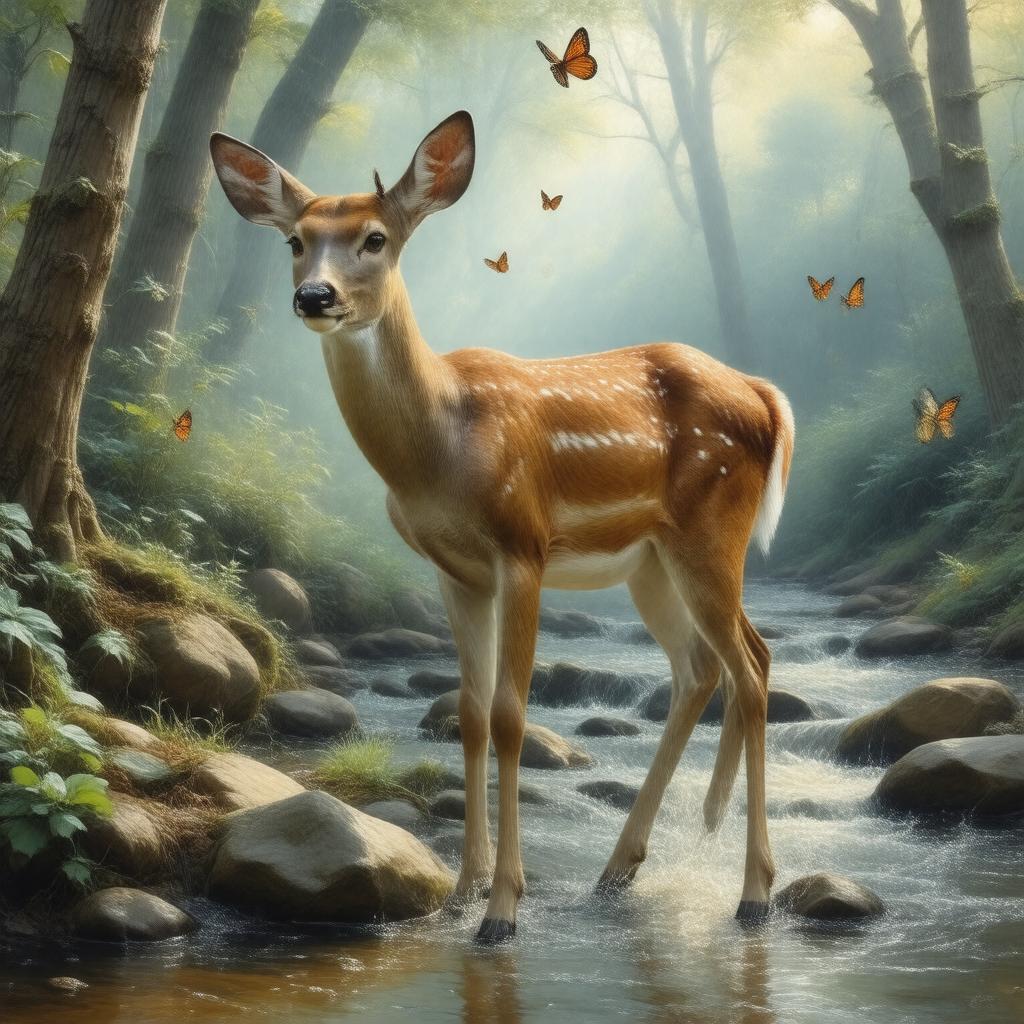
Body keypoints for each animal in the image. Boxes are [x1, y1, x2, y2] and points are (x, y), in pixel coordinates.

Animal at [210, 110, 795, 944]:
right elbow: (470, 715)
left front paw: (503, 910)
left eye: (375, 238)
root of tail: (761, 393)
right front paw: (461, 892)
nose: (315, 296)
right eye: (296, 239)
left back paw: (752, 893)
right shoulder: (455, 571)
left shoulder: (523, 547)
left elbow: (514, 716)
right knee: (706, 666)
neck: (440, 451)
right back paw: (619, 870)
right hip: (652, 561)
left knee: (750, 668)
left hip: (713, 529)